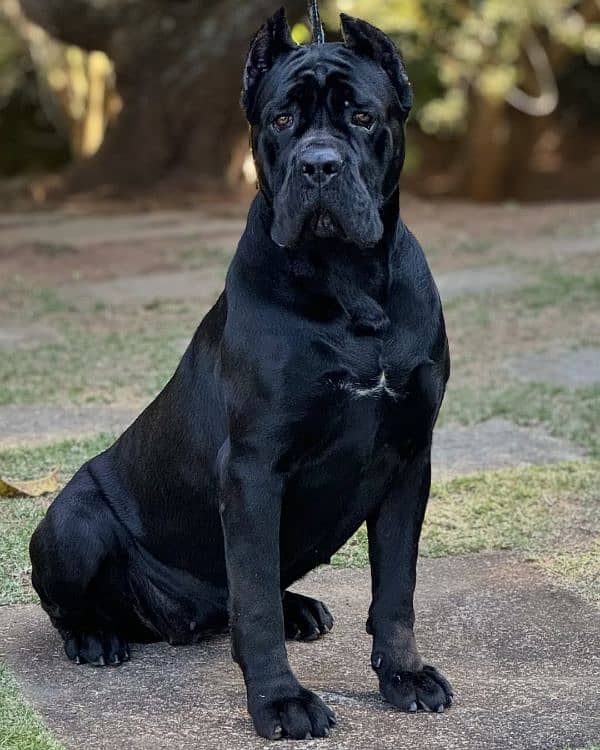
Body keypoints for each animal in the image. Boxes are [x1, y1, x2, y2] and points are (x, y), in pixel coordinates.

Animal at [29, 5, 450, 744]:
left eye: (362, 116)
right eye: (281, 119)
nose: (319, 165)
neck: (348, 283)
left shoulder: (408, 459)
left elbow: (397, 589)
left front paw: (403, 676)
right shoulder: (255, 467)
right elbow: (254, 607)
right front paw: (280, 702)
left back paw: (300, 607)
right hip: (71, 520)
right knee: (79, 604)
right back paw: (95, 638)